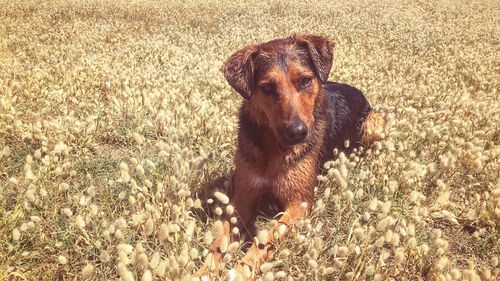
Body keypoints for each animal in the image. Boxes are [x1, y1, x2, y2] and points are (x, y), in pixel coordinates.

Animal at [197, 34, 384, 278]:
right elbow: (218, 242)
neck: (273, 149)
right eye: (267, 88)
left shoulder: (298, 205)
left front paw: (241, 271)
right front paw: (202, 271)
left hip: (374, 124)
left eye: (305, 81)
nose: (298, 132)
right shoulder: (241, 199)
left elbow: (265, 239)